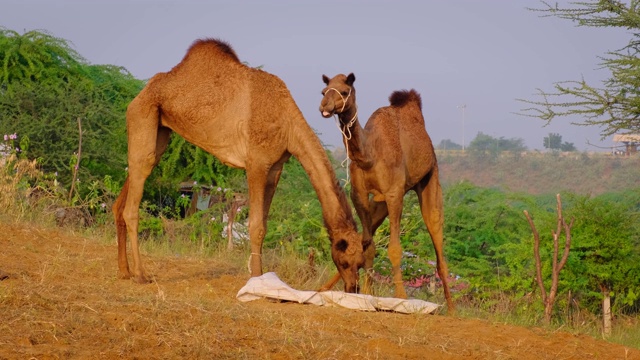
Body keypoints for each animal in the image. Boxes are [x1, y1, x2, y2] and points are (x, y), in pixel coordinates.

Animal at [112, 38, 362, 292]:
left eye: (361, 262)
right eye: (346, 260)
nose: (353, 286)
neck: (288, 126)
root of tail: (141, 94)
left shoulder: (275, 168)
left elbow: (263, 225)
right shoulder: (256, 164)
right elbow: (256, 226)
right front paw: (256, 280)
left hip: (160, 130)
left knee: (125, 194)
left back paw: (124, 270)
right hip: (143, 114)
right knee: (133, 202)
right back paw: (140, 274)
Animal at [318, 72, 452, 310]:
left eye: (344, 91)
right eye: (324, 91)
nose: (325, 105)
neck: (370, 156)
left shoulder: (394, 194)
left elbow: (394, 249)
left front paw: (401, 297)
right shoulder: (360, 196)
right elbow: (367, 246)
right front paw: (367, 294)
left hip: (430, 179)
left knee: (438, 242)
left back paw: (452, 308)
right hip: (379, 203)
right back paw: (325, 288)